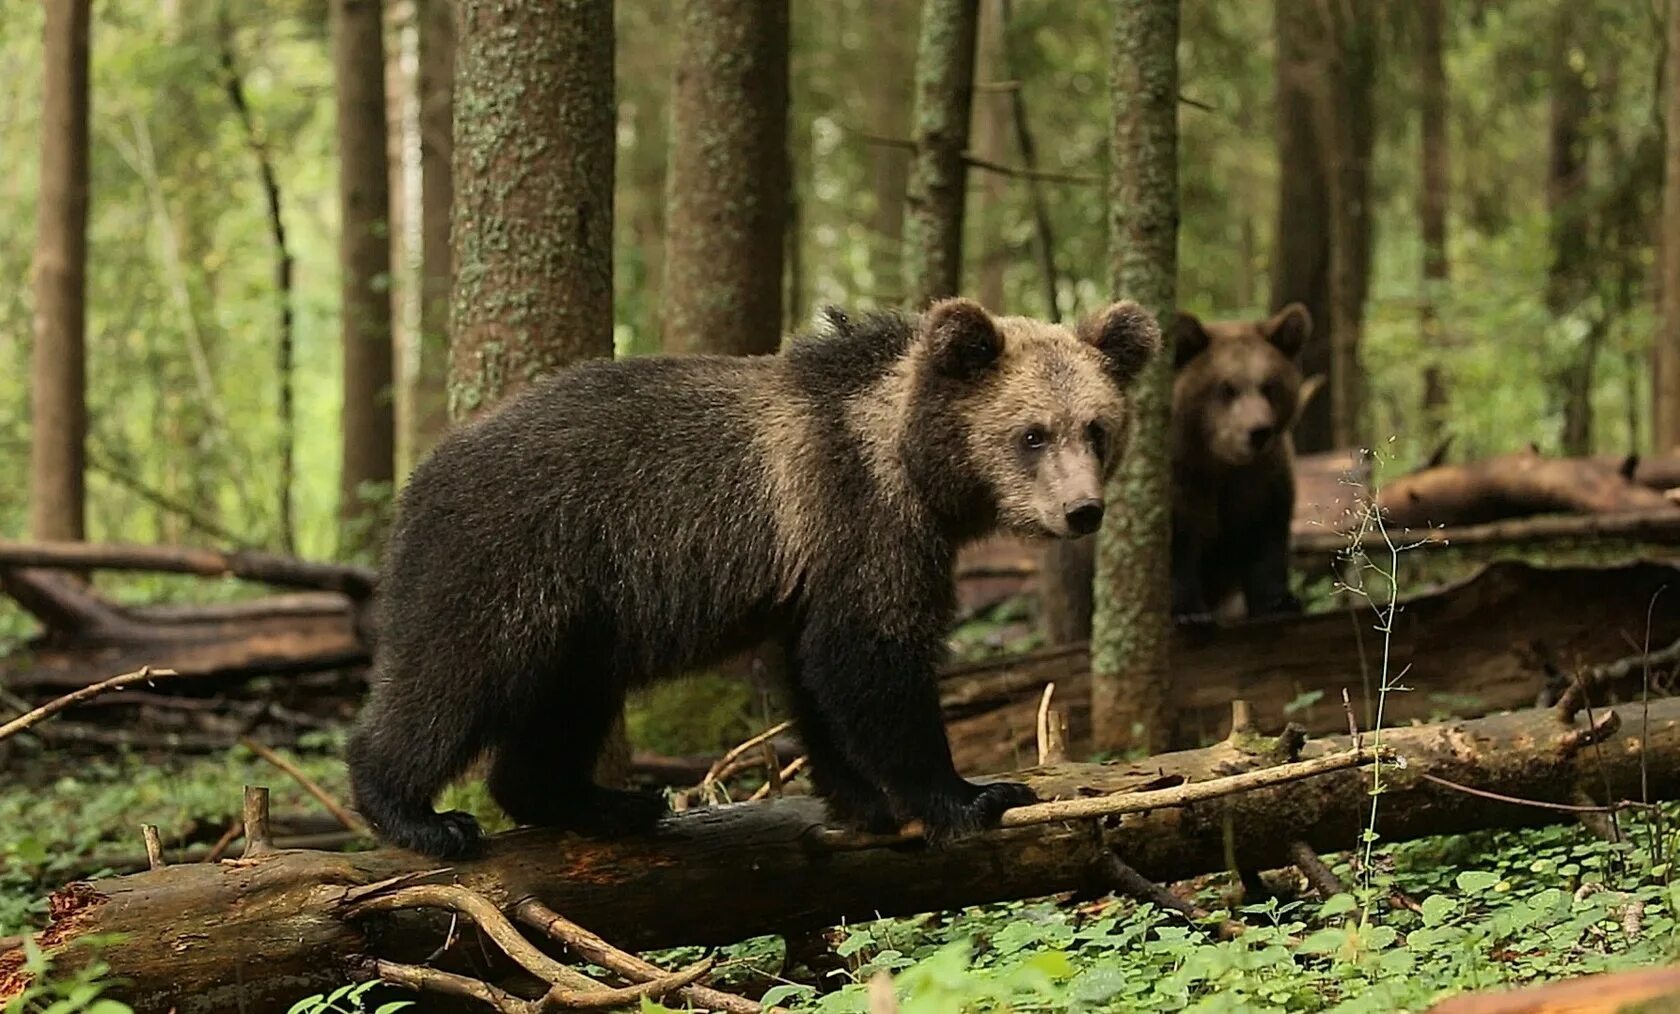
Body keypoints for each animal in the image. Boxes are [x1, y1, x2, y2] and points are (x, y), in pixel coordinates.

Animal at [341, 295, 1155, 856]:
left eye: (1096, 428)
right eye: (1032, 434)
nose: (1083, 510)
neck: (911, 465)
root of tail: (422, 475)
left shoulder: (818, 567)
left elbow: (818, 676)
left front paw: (863, 798)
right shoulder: (861, 518)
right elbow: (871, 658)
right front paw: (969, 795)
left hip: (584, 618)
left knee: (564, 706)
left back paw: (610, 802)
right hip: (513, 559)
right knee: (454, 673)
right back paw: (416, 813)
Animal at [1169, 300, 1310, 621]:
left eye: (1269, 385)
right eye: (1226, 388)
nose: (1258, 431)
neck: (1220, 463)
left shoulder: (1261, 477)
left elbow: (1265, 534)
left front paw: (1280, 601)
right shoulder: (1182, 475)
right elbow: (1178, 540)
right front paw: (1187, 611)